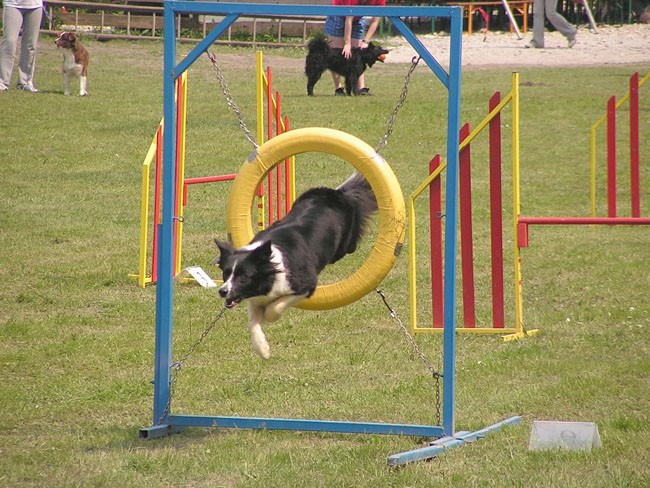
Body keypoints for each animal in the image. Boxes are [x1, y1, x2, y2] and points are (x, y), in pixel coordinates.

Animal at [213, 172, 374, 358]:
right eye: (225, 273)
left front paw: (269, 316)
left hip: (343, 245)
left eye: (244, 277)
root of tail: (336, 192)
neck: (271, 267)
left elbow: (276, 306)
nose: (223, 291)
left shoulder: (306, 284)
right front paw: (263, 349)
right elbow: (253, 322)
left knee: (350, 246)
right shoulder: (254, 298)